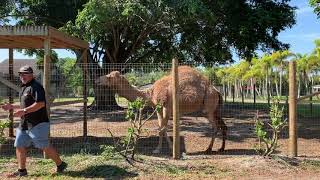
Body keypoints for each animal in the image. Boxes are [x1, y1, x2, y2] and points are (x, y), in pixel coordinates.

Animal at [96, 66, 226, 153]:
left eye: (109, 77)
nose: (97, 80)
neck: (150, 93)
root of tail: (216, 91)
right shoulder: (158, 109)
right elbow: (161, 128)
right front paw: (162, 148)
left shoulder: (166, 107)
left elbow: (163, 128)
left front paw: (165, 149)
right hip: (214, 109)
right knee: (222, 125)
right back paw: (221, 148)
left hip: (208, 108)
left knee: (215, 126)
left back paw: (208, 149)